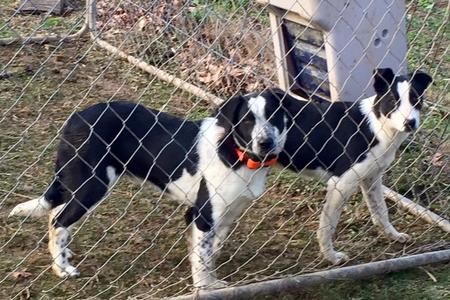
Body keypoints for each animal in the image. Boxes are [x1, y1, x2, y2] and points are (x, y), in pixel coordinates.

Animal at [10, 89, 290, 288]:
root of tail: (76, 118)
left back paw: (63, 256)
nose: (266, 143)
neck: (235, 152)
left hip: (78, 185)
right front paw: (205, 288)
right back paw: (61, 268)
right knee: (59, 221)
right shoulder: (203, 215)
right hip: (93, 186)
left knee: (54, 214)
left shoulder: (224, 214)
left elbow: (209, 253)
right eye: (247, 121)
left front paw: (211, 280)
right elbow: (202, 258)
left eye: (274, 116)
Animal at [278, 68, 432, 264]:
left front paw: (393, 235)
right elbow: (328, 225)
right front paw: (331, 256)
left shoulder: (371, 178)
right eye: (392, 100)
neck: (376, 125)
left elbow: (381, 211)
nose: (409, 123)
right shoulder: (340, 184)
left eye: (415, 99)